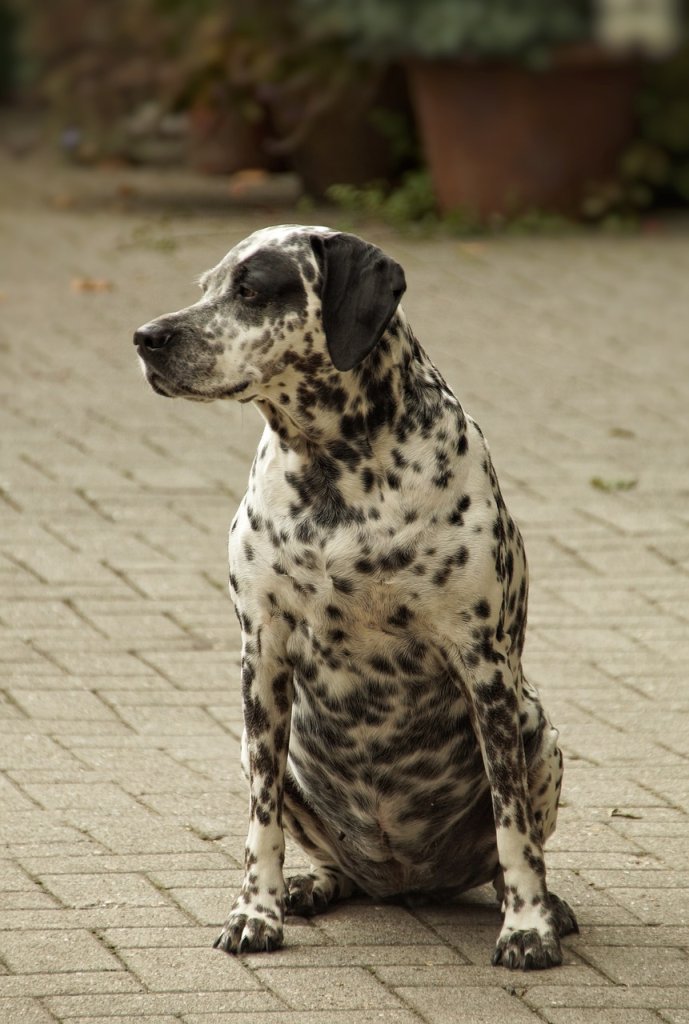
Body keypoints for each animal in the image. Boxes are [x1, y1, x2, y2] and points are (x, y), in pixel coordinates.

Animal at [133, 222, 573, 966]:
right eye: (206, 286)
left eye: (251, 290)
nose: (146, 337)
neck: (334, 470)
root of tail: (403, 883)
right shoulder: (261, 658)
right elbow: (261, 827)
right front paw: (256, 912)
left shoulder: (483, 665)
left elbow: (512, 828)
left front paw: (527, 927)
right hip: (262, 749)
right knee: (323, 854)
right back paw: (311, 883)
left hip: (534, 727)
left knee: (509, 850)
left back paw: (546, 904)